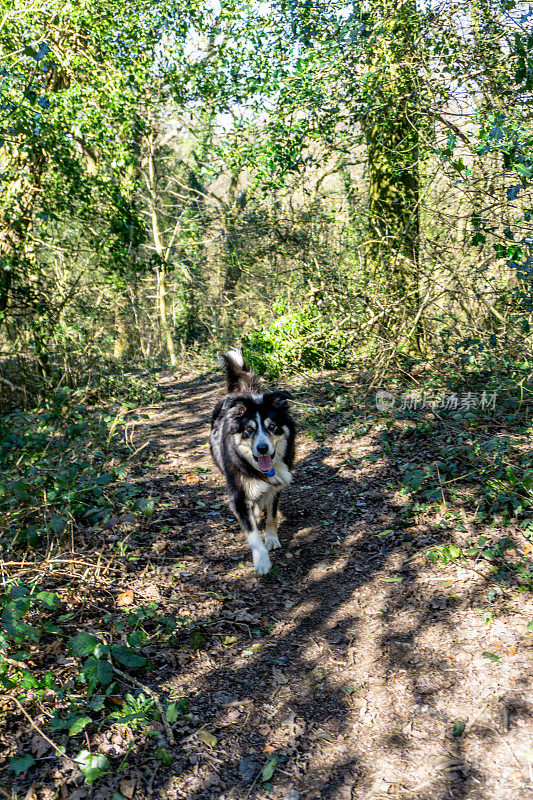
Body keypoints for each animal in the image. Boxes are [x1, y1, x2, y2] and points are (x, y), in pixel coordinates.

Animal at [209, 346, 296, 572]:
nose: (262, 448)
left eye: (272, 426)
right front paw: (262, 560)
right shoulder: (238, 494)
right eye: (249, 430)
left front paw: (272, 538)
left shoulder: (276, 485)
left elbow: (272, 515)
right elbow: (252, 531)